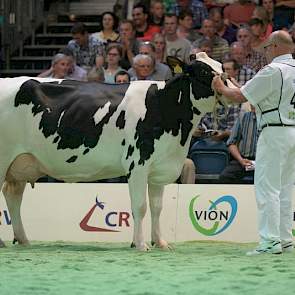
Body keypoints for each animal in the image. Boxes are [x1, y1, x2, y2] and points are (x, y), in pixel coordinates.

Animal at [0, 52, 227, 250]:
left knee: (12, 195)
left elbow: (157, 207)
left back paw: (23, 240)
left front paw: (160, 243)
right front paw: (140, 244)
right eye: (204, 71)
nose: (226, 84)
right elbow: (140, 207)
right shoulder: (138, 164)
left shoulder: (158, 167)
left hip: (20, 164)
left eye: (221, 67)